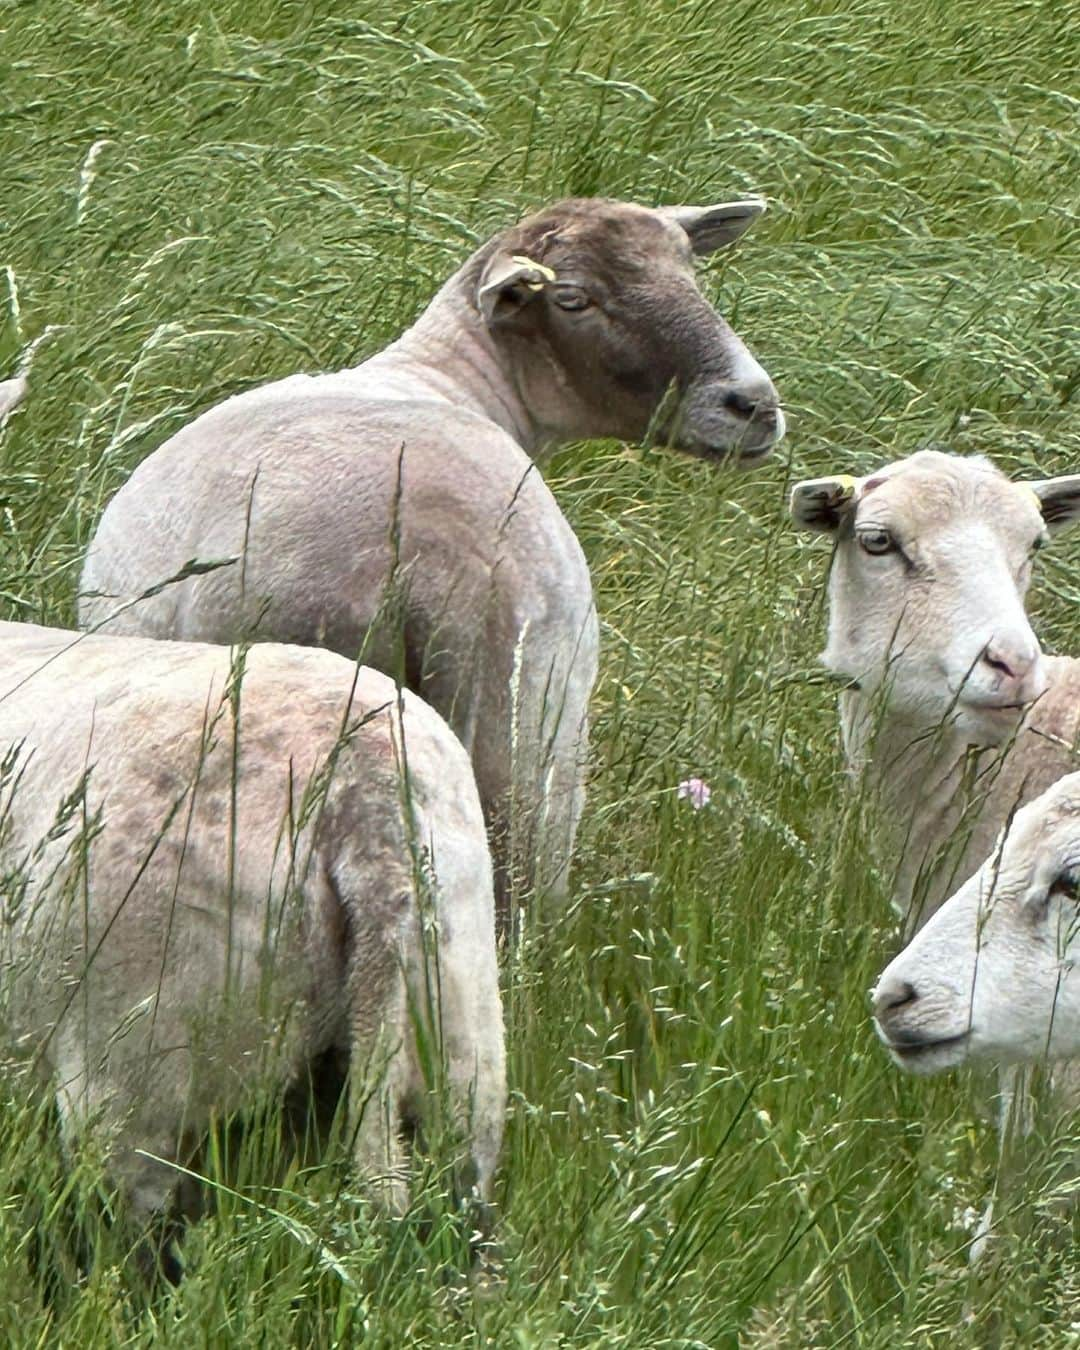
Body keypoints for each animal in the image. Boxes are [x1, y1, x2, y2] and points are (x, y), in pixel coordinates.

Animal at [77, 195, 783, 934]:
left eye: (689, 269)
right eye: (573, 298)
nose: (753, 405)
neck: (451, 373)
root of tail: (419, 558)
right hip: (532, 717)